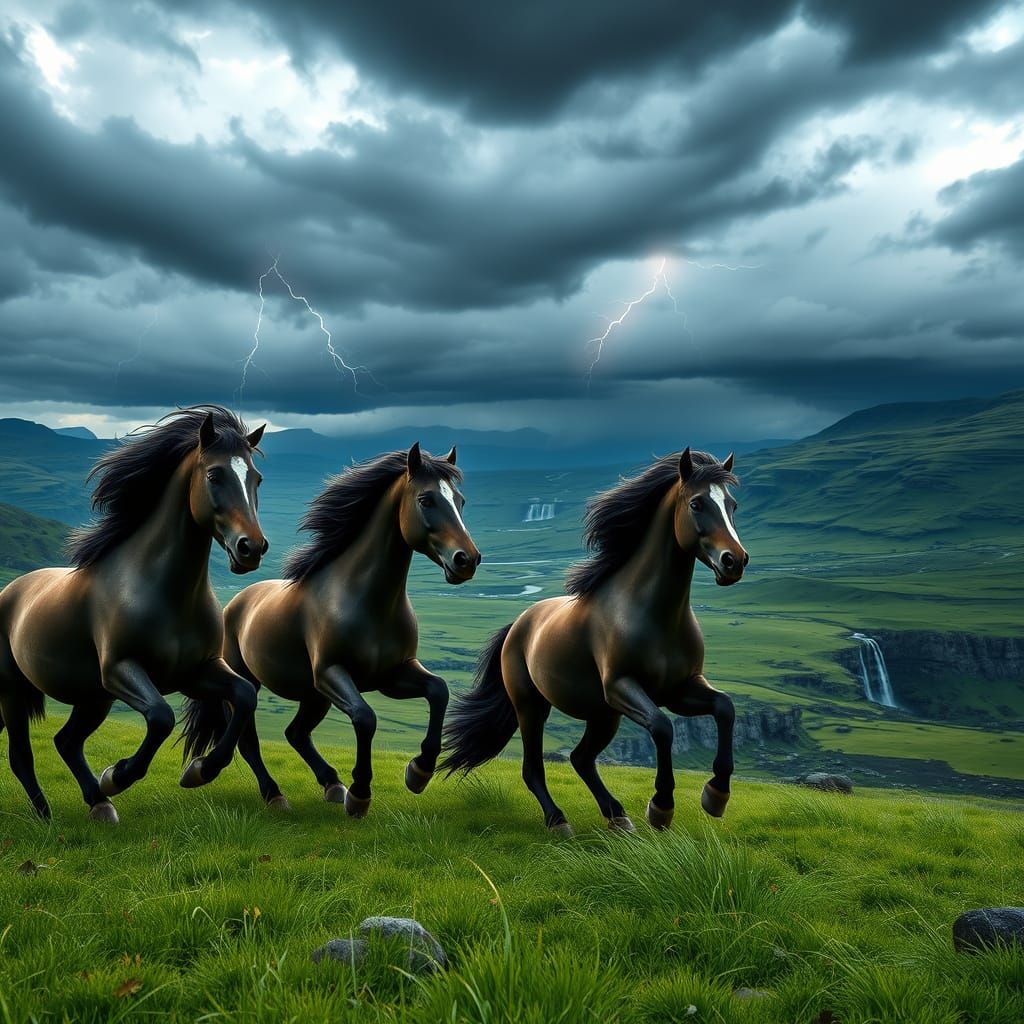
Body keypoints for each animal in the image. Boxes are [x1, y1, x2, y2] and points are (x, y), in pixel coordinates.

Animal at [0, 406, 268, 823]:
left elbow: (244, 697)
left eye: (256, 478)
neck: (164, 593)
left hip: (93, 699)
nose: (251, 549)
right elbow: (161, 717)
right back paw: (48, 814)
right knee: (21, 755)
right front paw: (118, 775)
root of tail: (10, 590)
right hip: (15, 691)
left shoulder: (196, 672)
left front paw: (200, 770)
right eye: (214, 474)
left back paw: (99, 804)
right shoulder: (120, 669)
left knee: (66, 741)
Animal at [180, 442, 481, 817]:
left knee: (295, 733)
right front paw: (361, 795)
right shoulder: (331, 673)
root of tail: (234, 604)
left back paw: (332, 784)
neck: (365, 601)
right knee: (249, 739)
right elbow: (365, 718)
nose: (467, 560)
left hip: (313, 696)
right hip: (253, 679)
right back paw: (270, 792)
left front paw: (419, 772)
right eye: (426, 499)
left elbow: (439, 690)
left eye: (461, 500)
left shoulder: (393, 675)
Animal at [440, 448, 748, 836]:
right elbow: (662, 728)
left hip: (603, 715)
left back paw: (617, 815)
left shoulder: (680, 689)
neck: (653, 614)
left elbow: (725, 707)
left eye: (732, 504)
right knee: (534, 768)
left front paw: (716, 795)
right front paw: (661, 807)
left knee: (581, 758)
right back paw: (559, 821)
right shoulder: (620, 686)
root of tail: (519, 625)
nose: (734, 561)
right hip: (533, 706)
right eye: (696, 504)